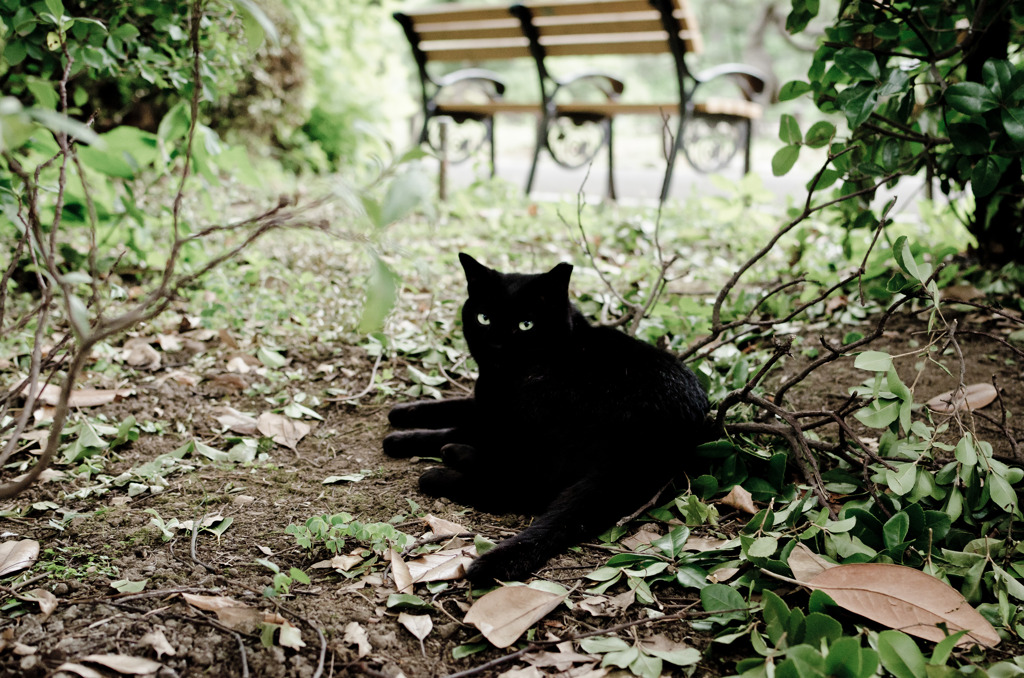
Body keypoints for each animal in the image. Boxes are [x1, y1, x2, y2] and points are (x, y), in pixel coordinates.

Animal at [380, 253, 708, 585]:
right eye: (484, 318)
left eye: (526, 325)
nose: (496, 344)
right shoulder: (487, 401)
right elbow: (454, 404)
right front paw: (403, 411)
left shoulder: (499, 413)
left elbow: (454, 426)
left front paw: (399, 438)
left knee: (524, 485)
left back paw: (441, 470)